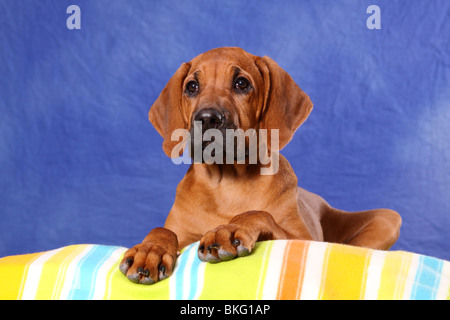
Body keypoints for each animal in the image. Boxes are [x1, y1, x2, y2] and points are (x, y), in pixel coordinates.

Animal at [118, 46, 400, 284]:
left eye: (241, 83)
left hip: (387, 218)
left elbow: (259, 214)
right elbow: (162, 229)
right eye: (192, 86)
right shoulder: (182, 230)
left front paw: (229, 228)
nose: (207, 118)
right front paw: (150, 249)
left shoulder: (304, 240)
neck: (227, 182)